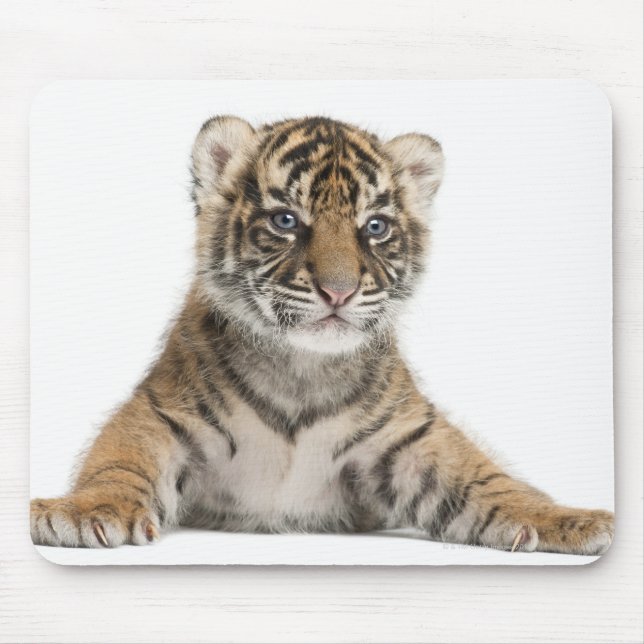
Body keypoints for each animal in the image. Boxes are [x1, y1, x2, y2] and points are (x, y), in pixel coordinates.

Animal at [30, 115, 614, 555]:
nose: (339, 291)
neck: (302, 368)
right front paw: (80, 513)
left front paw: (570, 519)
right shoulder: (160, 413)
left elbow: (487, 478)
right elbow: (119, 460)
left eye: (375, 227)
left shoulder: (413, 438)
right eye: (286, 221)